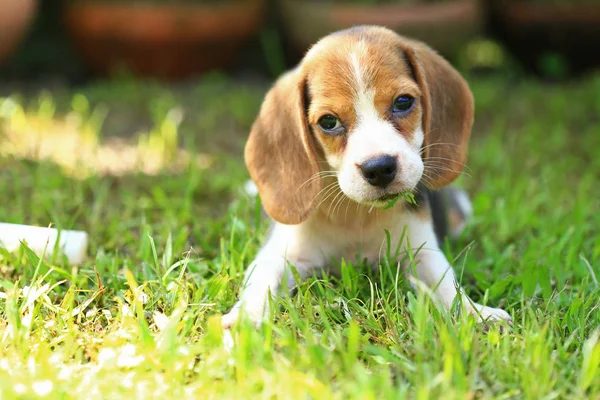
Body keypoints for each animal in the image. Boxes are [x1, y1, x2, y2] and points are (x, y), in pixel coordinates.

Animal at [220, 26, 510, 330]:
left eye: (403, 102)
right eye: (328, 122)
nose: (379, 168)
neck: (356, 214)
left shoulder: (421, 250)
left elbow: (445, 284)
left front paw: (475, 314)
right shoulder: (282, 253)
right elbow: (263, 281)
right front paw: (244, 319)